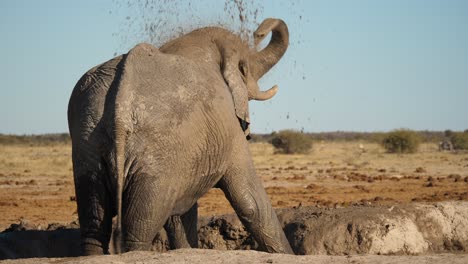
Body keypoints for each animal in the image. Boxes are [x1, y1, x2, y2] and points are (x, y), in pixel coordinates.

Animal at [67, 17, 290, 255]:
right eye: (244, 67)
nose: (259, 33)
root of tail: (120, 106)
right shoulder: (229, 129)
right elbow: (251, 202)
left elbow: (178, 215)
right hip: (156, 160)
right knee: (138, 230)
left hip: (88, 144)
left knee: (94, 226)